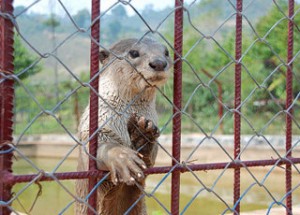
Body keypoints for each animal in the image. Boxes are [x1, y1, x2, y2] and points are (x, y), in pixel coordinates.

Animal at [75, 37, 171, 214]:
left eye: (166, 52)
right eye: (133, 53)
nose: (159, 63)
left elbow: (152, 155)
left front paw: (143, 136)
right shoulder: (98, 120)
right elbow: (99, 145)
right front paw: (121, 157)